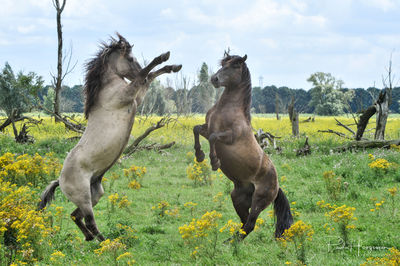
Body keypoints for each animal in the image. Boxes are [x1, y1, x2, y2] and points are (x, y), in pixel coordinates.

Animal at [38, 33, 180, 241]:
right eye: (130, 58)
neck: (107, 87)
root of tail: (60, 180)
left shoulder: (137, 98)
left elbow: (149, 78)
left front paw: (173, 66)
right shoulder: (129, 94)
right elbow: (144, 75)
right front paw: (163, 57)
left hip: (95, 194)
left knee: (76, 216)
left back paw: (91, 238)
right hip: (85, 198)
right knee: (89, 220)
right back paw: (107, 243)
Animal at [192, 53, 292, 238]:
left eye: (235, 66)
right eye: (223, 64)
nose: (214, 79)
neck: (227, 109)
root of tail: (277, 186)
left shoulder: (229, 136)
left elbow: (214, 138)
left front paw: (214, 162)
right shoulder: (207, 128)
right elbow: (196, 129)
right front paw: (199, 156)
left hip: (259, 200)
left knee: (250, 224)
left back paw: (231, 242)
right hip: (237, 197)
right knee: (244, 223)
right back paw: (229, 241)